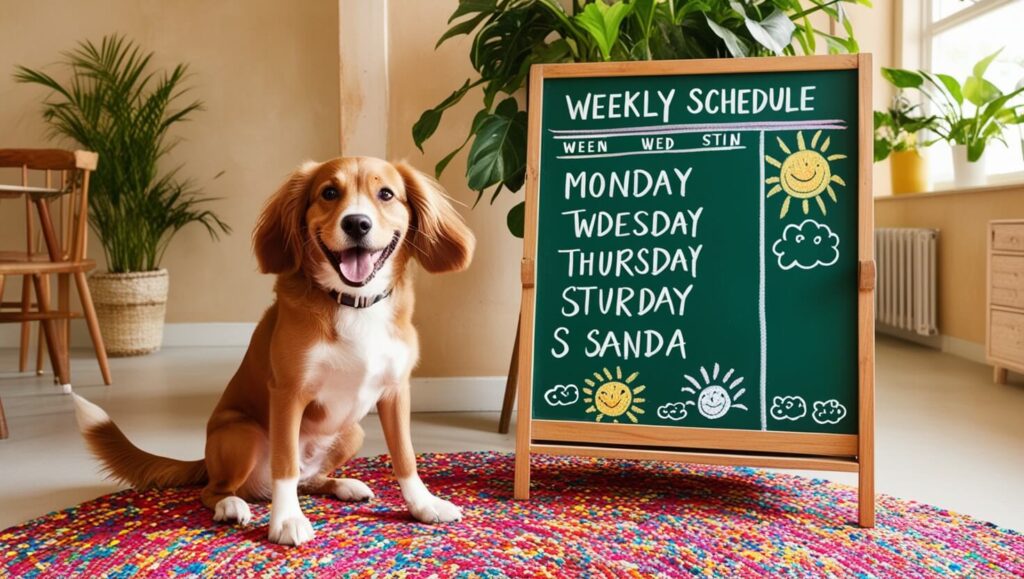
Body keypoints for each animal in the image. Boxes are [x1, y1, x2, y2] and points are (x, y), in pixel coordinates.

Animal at [72, 155, 475, 545]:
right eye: (329, 192)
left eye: (386, 194)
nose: (357, 223)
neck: (353, 302)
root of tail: (205, 460)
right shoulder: (288, 394)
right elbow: (285, 463)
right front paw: (286, 521)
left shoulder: (395, 391)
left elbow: (405, 456)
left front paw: (423, 505)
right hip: (242, 434)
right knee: (217, 489)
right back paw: (232, 505)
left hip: (353, 432)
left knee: (307, 479)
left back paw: (341, 484)